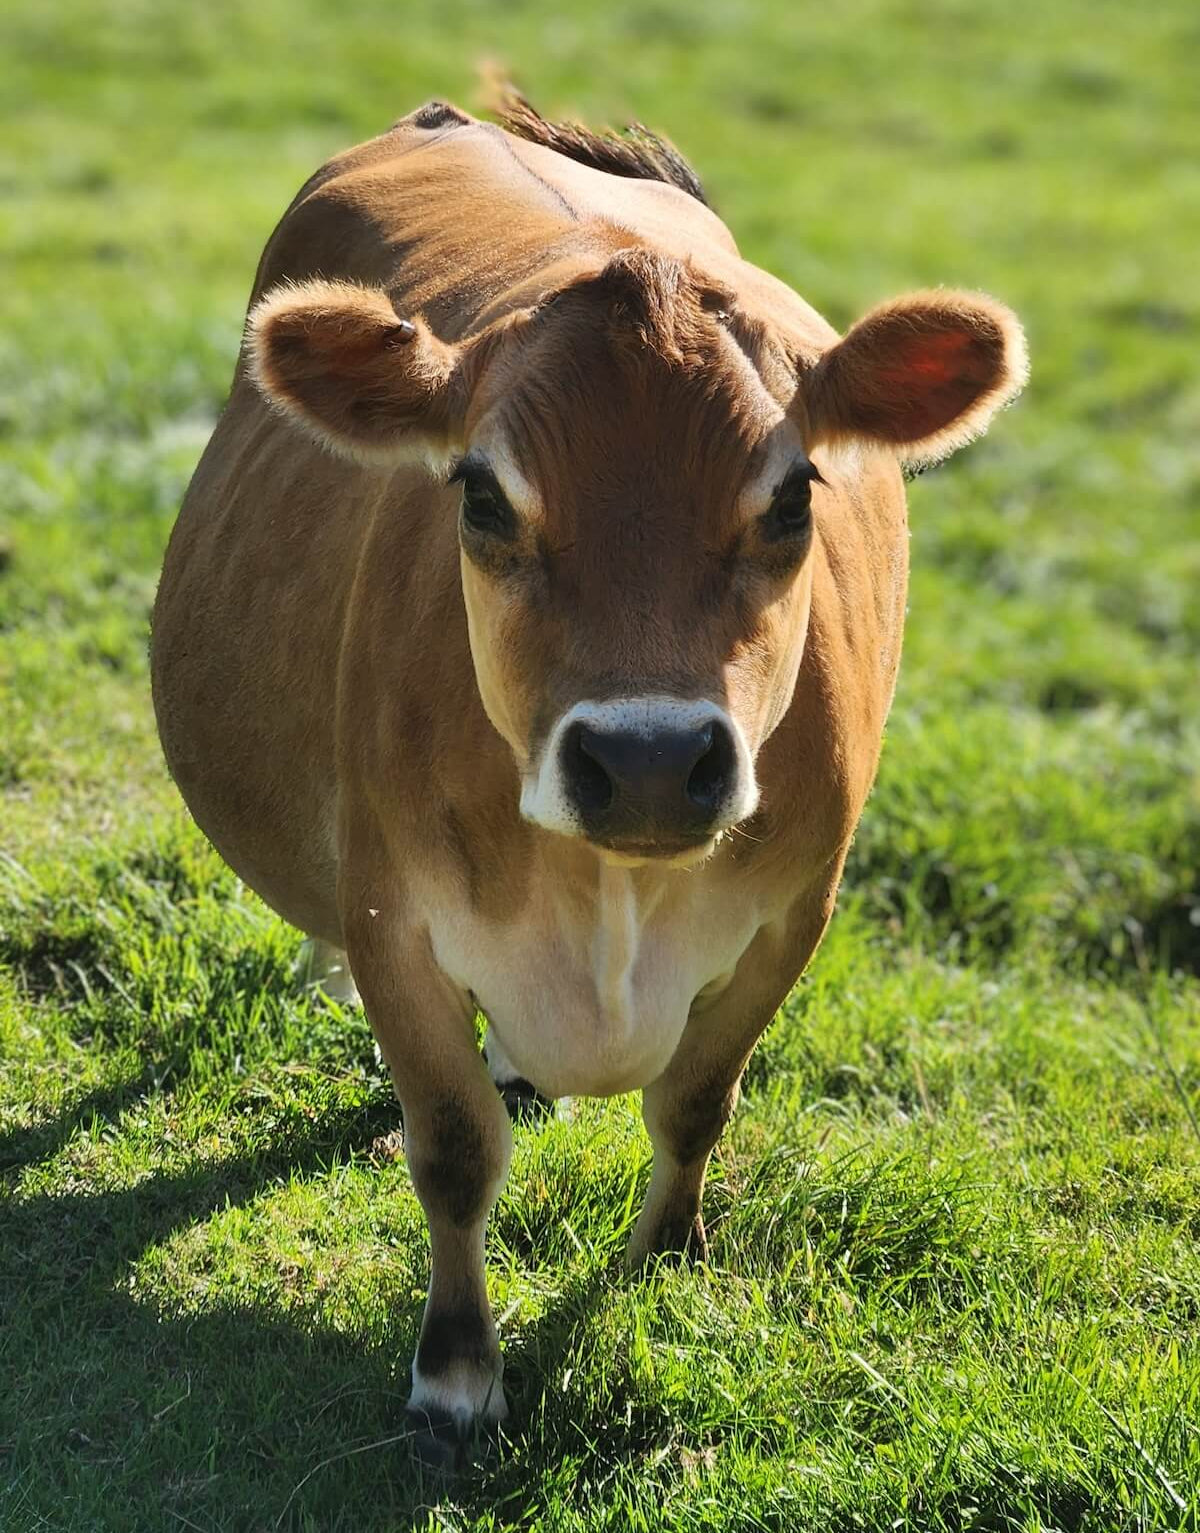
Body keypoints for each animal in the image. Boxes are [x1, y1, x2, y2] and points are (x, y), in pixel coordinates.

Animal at [150, 92, 1026, 1455]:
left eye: (793, 499)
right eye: (481, 497)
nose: (652, 761)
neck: (612, 908)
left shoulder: (798, 910)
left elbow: (696, 1100)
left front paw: (662, 1260)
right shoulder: (394, 918)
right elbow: (453, 1147)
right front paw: (457, 1374)